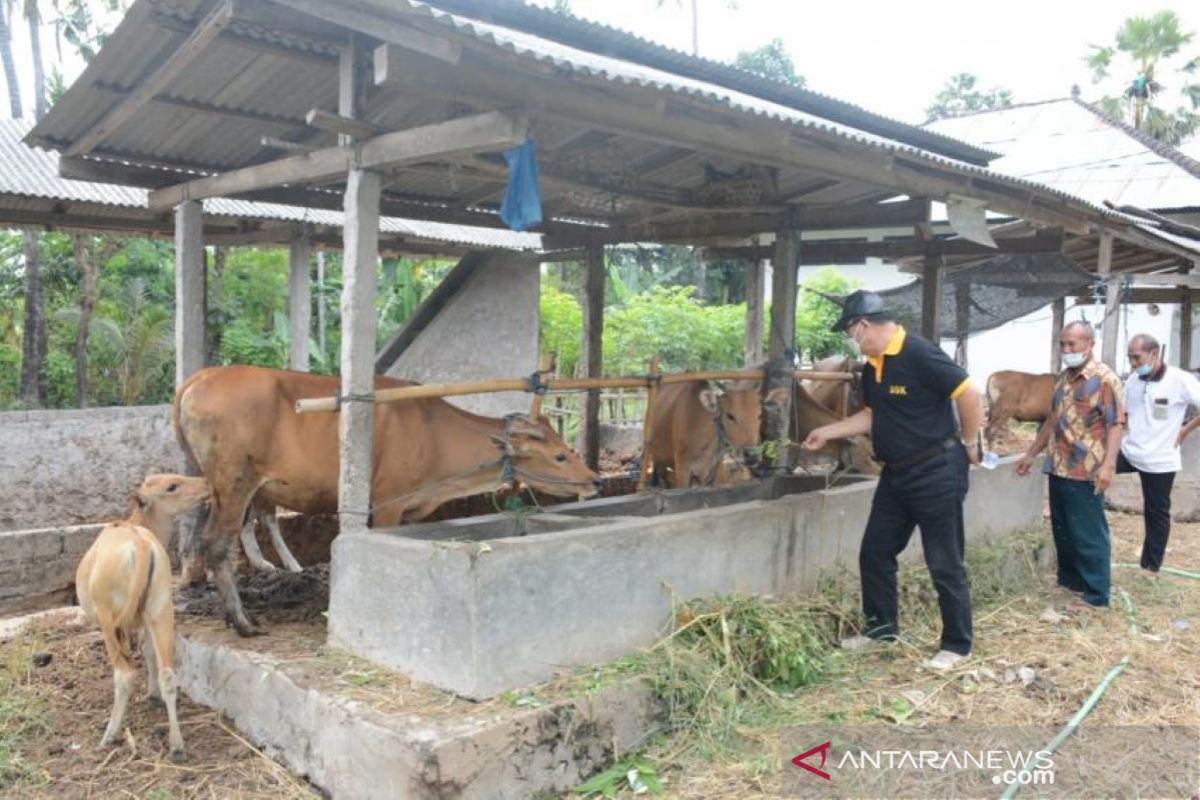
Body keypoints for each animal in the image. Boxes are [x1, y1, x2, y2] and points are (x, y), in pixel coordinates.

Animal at [175, 367, 600, 633]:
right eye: (560, 456)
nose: (595, 480)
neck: (435, 434)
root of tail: (202, 375)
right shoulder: (388, 502)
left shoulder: (413, 509)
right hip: (235, 482)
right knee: (218, 544)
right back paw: (242, 621)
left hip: (208, 482)